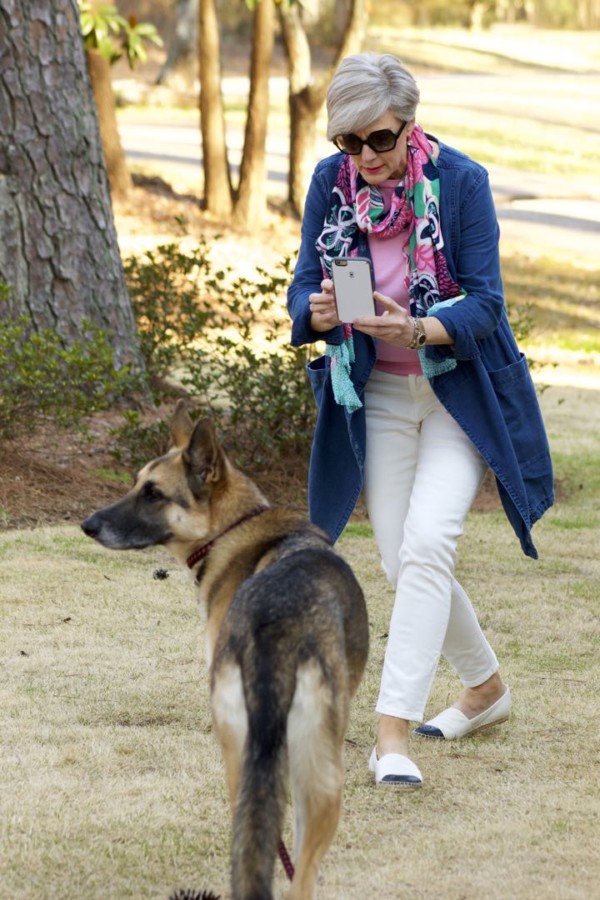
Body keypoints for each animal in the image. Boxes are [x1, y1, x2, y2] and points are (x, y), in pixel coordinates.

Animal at [81, 402, 368, 900]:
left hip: (246, 759)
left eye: (153, 493)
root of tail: (276, 627)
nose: (87, 525)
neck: (236, 527)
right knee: (298, 873)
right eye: (137, 485)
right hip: (317, 782)